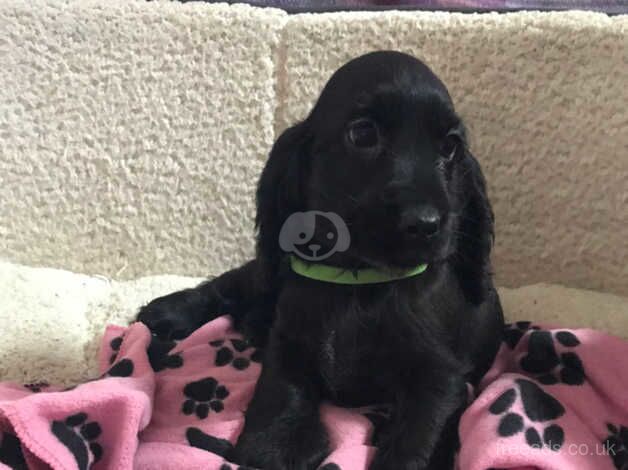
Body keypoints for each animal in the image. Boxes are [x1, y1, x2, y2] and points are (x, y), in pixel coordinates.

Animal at [139, 50, 506, 470]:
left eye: (450, 147)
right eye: (362, 134)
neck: (359, 282)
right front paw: (275, 445)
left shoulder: (441, 376)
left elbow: (417, 442)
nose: (426, 224)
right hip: (271, 272)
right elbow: (281, 396)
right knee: (233, 283)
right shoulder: (288, 342)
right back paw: (167, 311)